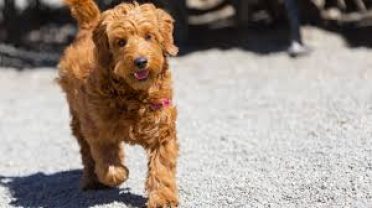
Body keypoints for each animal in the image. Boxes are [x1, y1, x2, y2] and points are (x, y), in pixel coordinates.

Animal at [56, 0, 180, 207]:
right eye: (121, 42)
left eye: (149, 36)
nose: (140, 61)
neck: (134, 95)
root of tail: (91, 24)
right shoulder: (98, 128)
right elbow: (107, 163)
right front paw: (118, 174)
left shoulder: (161, 129)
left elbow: (162, 165)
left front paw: (163, 198)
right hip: (77, 116)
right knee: (87, 153)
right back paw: (91, 180)